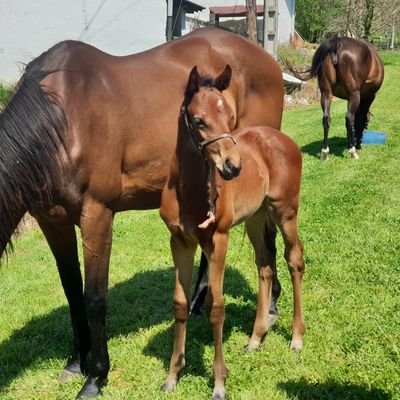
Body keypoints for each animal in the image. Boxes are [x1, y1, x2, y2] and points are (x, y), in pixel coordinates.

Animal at [0, 27, 284, 396]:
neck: (61, 121)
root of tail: (267, 58)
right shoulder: (53, 222)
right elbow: (72, 291)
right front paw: (75, 363)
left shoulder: (97, 215)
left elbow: (94, 296)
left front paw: (96, 376)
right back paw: (199, 303)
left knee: (268, 241)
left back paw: (271, 308)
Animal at [159, 66, 306, 400]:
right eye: (199, 120)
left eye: (230, 117)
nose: (233, 167)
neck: (189, 192)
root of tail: (283, 138)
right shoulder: (180, 241)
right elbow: (180, 303)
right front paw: (173, 376)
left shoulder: (218, 240)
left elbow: (215, 306)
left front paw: (219, 383)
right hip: (256, 218)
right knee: (265, 266)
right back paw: (255, 338)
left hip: (285, 211)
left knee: (294, 260)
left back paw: (296, 337)